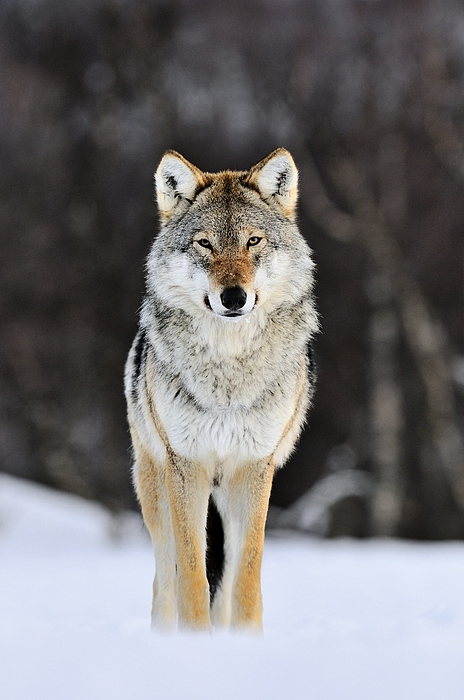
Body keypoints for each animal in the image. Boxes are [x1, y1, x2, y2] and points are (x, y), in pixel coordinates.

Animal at [125, 148, 318, 632]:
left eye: (253, 242)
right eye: (205, 244)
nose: (233, 297)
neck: (228, 378)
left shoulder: (253, 468)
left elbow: (246, 578)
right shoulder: (186, 467)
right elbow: (192, 576)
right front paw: (195, 641)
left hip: (227, 498)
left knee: (226, 581)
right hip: (155, 490)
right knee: (164, 579)